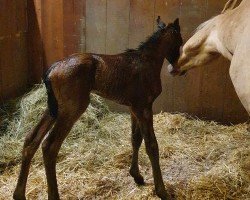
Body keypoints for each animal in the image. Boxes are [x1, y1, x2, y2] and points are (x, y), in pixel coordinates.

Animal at [13, 16, 182, 199]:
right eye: (180, 41)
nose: (177, 67)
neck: (146, 62)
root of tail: (52, 69)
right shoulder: (144, 107)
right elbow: (151, 145)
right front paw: (162, 190)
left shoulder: (134, 108)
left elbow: (135, 139)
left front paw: (137, 176)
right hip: (72, 108)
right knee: (49, 146)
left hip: (55, 108)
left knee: (32, 139)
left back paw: (19, 194)